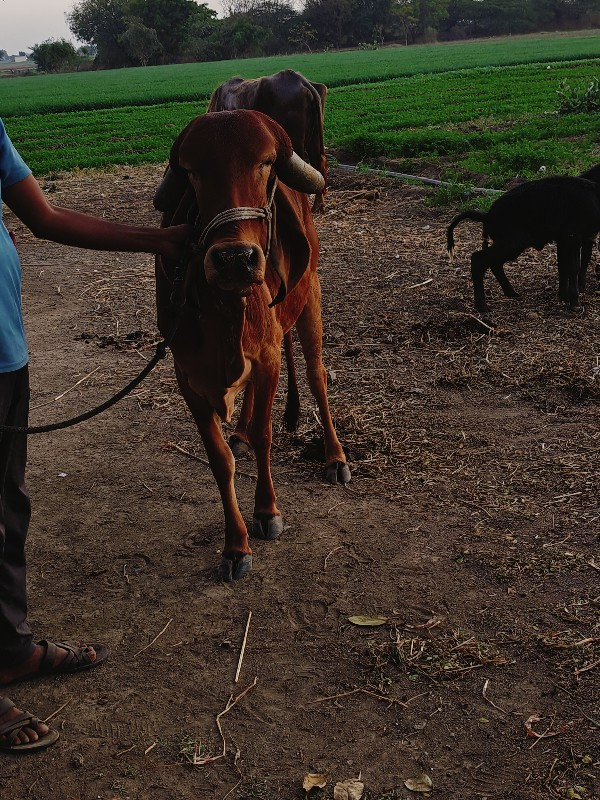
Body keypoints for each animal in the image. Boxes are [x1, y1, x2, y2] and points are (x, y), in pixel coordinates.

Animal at [156, 109, 352, 580]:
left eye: (264, 163)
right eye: (192, 170)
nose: (234, 260)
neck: (226, 306)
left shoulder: (267, 359)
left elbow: (267, 434)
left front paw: (266, 512)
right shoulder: (188, 377)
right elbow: (218, 459)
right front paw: (235, 545)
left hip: (311, 300)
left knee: (316, 376)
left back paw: (335, 456)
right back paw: (240, 432)